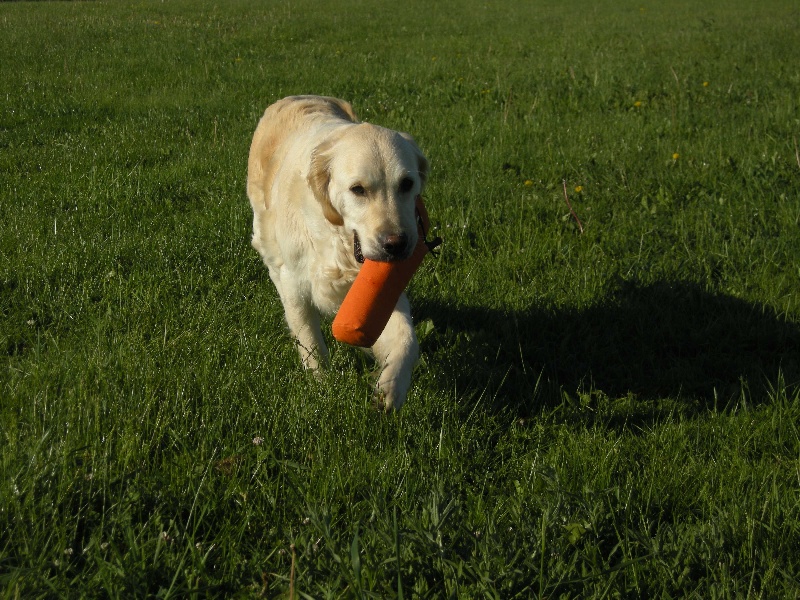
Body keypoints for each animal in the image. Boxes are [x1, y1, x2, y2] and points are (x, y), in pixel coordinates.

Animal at [247, 96, 428, 410]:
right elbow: (310, 341)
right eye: (358, 190)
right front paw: (323, 390)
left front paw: (391, 386)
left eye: (407, 184)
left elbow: (406, 338)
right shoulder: (296, 285)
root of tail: (292, 97)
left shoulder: (381, 291)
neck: (338, 244)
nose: (396, 244)